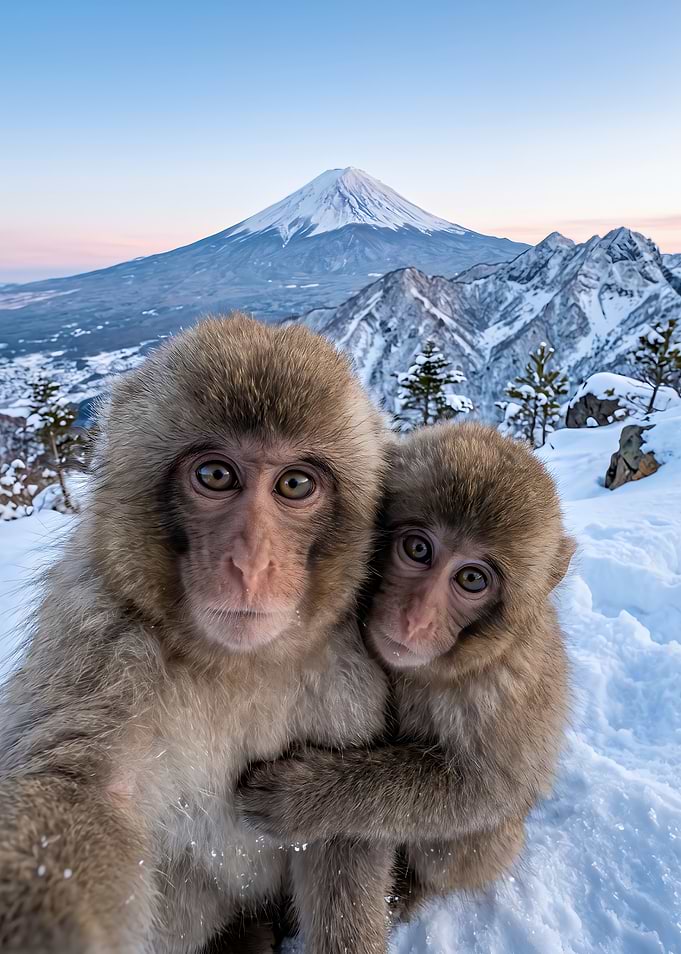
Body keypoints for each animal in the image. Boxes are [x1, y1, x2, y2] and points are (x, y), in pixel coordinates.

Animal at [0, 313, 394, 954]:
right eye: (215, 475)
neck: (239, 665)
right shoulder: (99, 639)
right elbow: (88, 793)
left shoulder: (350, 663)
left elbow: (343, 835)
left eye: (294, 485)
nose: (251, 563)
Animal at [237, 421, 574, 943]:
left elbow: (490, 789)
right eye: (418, 549)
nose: (416, 618)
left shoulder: (507, 685)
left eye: (472, 579)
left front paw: (304, 799)